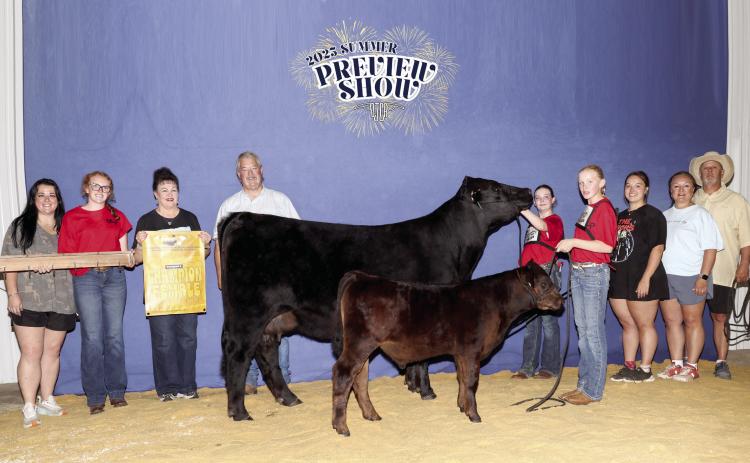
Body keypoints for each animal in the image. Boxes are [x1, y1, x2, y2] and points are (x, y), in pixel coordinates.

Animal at [218, 176, 532, 421]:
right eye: (497, 188)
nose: (528, 190)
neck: (455, 249)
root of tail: (243, 216)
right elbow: (425, 358)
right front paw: (426, 390)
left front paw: (413, 385)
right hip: (248, 311)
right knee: (238, 352)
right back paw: (239, 411)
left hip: (272, 316)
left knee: (265, 351)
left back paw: (288, 397)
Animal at [331, 264, 563, 436]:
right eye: (544, 283)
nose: (561, 300)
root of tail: (361, 277)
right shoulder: (471, 351)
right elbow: (470, 382)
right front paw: (474, 415)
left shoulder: (460, 353)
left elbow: (461, 379)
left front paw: (462, 406)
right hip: (360, 343)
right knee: (343, 374)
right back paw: (341, 427)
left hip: (363, 347)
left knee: (360, 379)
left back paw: (371, 415)